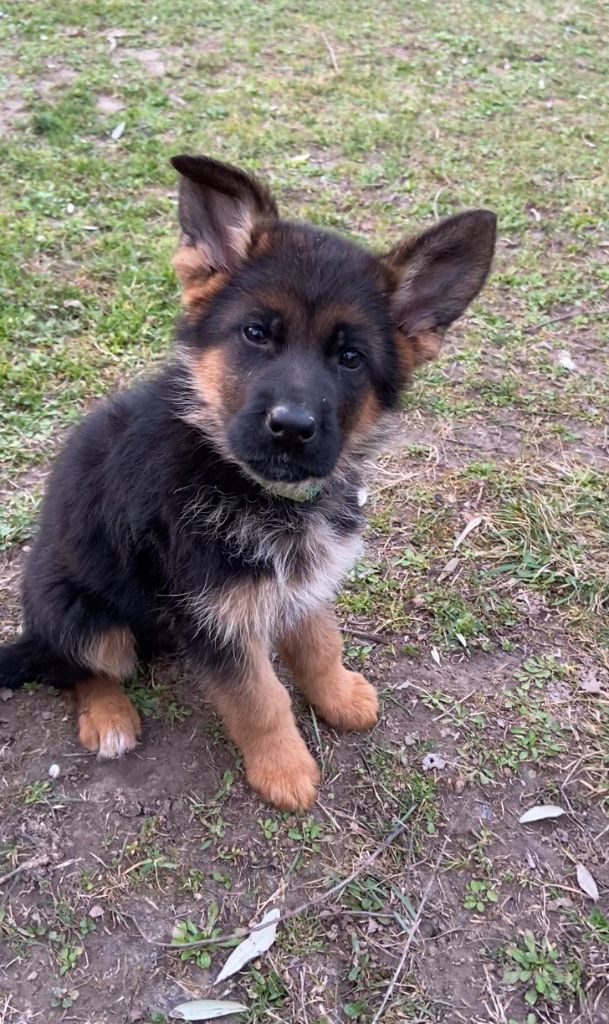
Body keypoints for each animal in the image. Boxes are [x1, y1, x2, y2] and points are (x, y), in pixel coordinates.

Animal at [0, 157, 495, 806]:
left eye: (351, 358)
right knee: (79, 666)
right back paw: (109, 717)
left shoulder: (302, 580)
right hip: (80, 614)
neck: (242, 479)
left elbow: (319, 645)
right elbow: (259, 698)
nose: (292, 428)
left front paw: (339, 696)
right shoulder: (216, 617)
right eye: (257, 333)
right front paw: (284, 770)